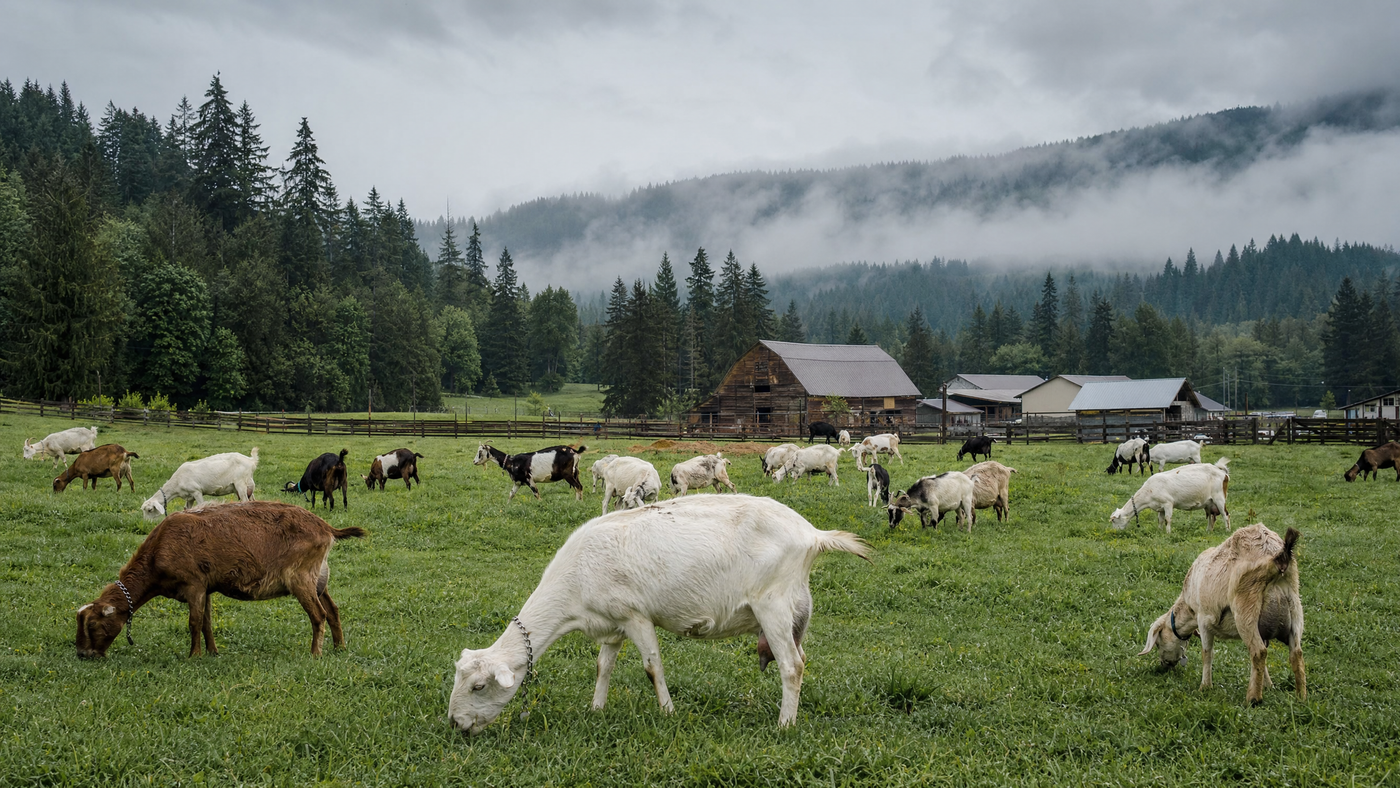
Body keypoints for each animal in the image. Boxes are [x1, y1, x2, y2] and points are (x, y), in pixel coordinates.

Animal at [76, 501, 365, 658]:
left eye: (92, 625)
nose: (83, 654)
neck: (159, 551)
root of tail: (326, 528)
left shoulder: (193, 584)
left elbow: (194, 623)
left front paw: (193, 656)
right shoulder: (206, 588)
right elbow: (206, 622)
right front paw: (212, 652)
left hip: (301, 579)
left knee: (318, 615)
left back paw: (315, 654)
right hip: (319, 580)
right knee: (333, 611)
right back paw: (339, 648)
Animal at [446, 494, 870, 734]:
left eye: (479, 687)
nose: (456, 724)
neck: (574, 586)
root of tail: (812, 535)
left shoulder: (635, 616)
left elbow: (652, 667)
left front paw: (667, 713)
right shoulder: (612, 622)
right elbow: (603, 666)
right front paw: (596, 708)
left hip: (774, 606)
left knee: (792, 667)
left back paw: (785, 725)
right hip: (793, 611)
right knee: (801, 660)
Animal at [1138, 524, 1305, 705]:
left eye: (1158, 642)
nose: (1165, 665)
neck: (1188, 606)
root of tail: (1278, 556)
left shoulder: (1203, 619)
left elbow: (1207, 653)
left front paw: (1205, 687)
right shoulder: (1264, 631)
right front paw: (1268, 685)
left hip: (1246, 609)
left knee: (1258, 652)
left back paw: (1253, 699)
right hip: (1295, 606)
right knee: (1296, 653)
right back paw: (1301, 697)